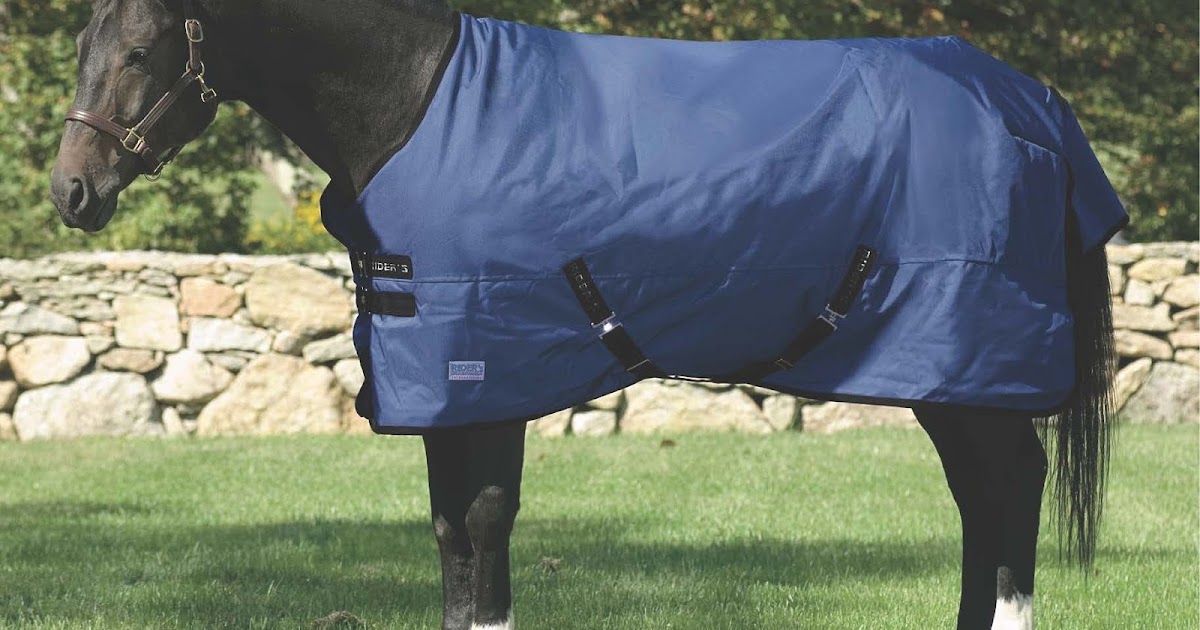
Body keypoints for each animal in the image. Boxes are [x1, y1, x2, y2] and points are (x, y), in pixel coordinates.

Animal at [49, 1, 1121, 629]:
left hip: (966, 357)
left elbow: (482, 526)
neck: (415, 106)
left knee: (1007, 491)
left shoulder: (484, 371)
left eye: (140, 51)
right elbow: (453, 534)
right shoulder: (441, 383)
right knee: (984, 500)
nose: (71, 191)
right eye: (81, 47)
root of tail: (1031, 101)